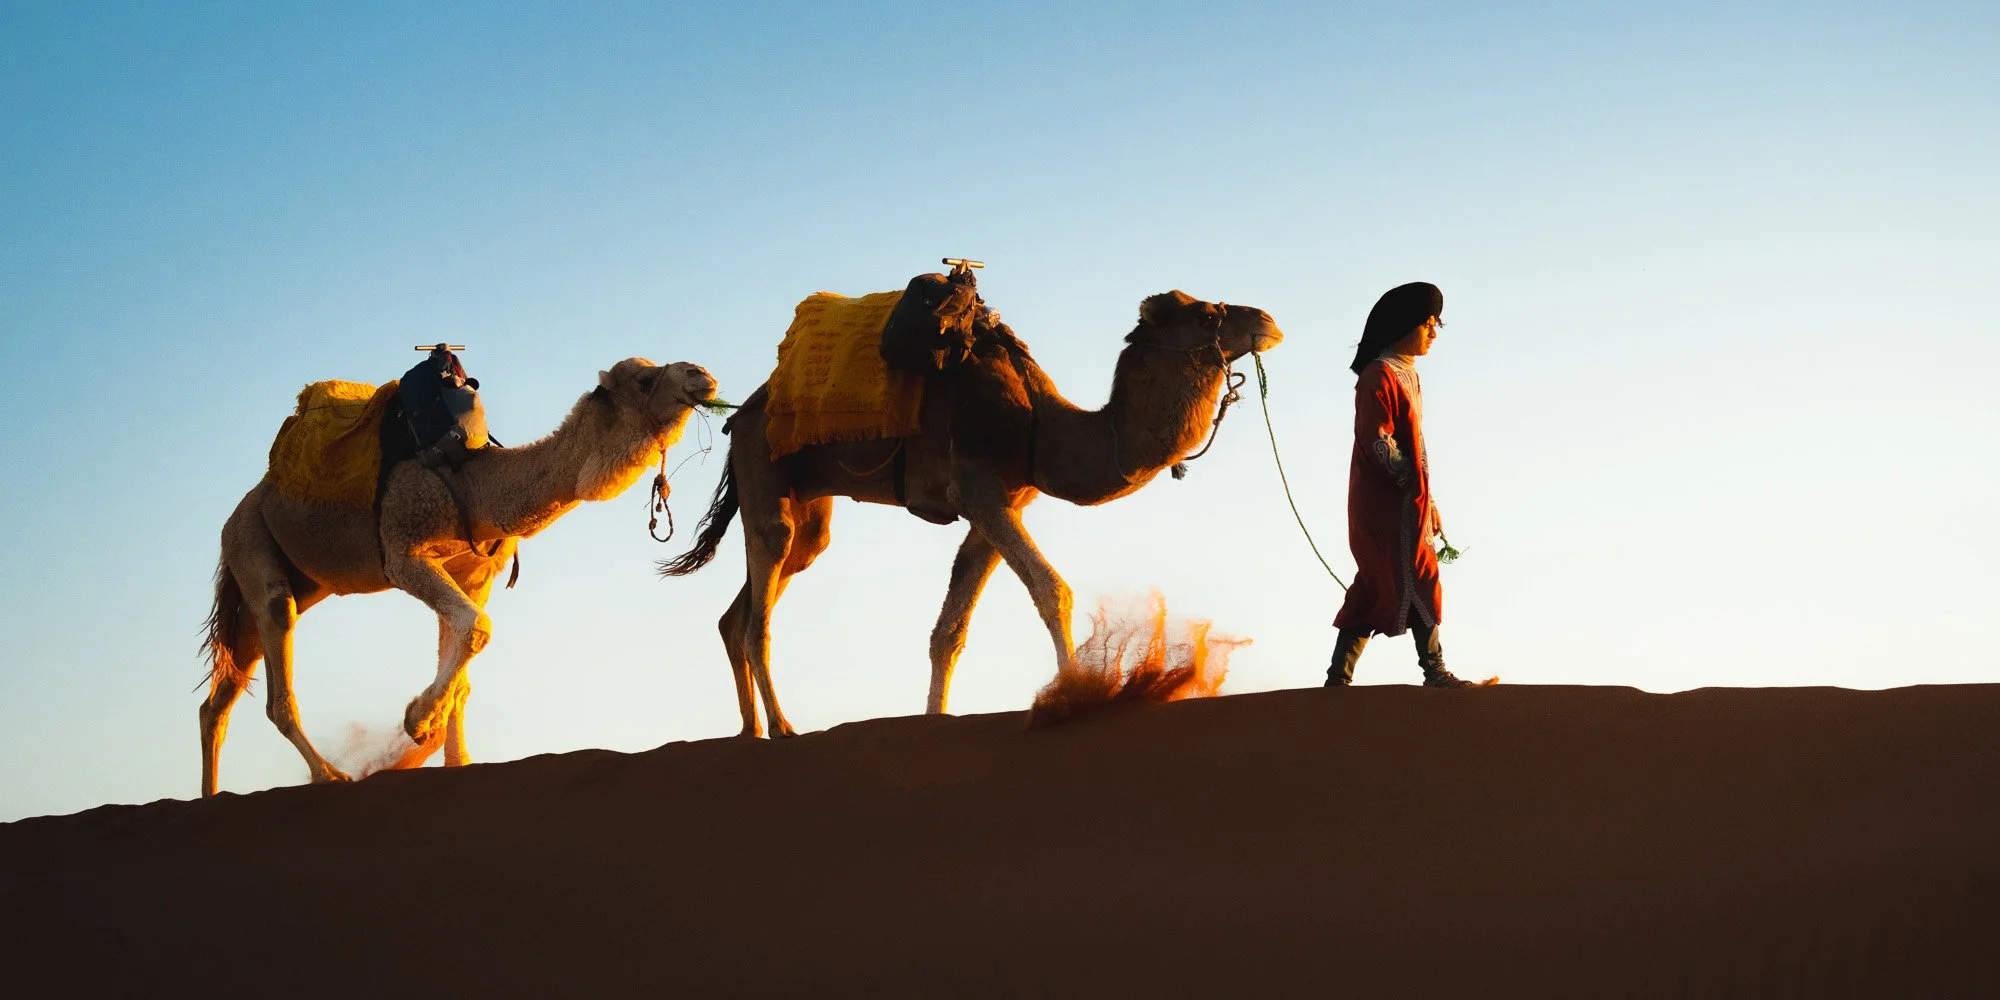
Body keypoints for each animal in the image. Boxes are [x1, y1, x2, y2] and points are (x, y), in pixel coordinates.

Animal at [198, 358, 718, 796]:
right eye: (645, 379)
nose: (702, 375)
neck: (475, 485)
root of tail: (233, 517)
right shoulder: (403, 549)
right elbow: (478, 629)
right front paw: (416, 722)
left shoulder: (475, 576)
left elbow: (466, 653)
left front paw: (450, 755)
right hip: (251, 543)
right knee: (275, 650)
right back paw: (328, 775)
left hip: (296, 579)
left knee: (219, 696)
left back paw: (212, 794)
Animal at [662, 290, 1284, 736]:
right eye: (1208, 314)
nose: (1268, 320)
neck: (1041, 427)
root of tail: (739, 416)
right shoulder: (979, 489)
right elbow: (1052, 589)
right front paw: (1073, 697)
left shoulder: (1000, 507)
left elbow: (951, 630)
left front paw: (936, 718)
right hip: (764, 468)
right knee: (762, 595)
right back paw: (784, 728)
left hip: (808, 506)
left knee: (750, 601)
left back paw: (750, 733)